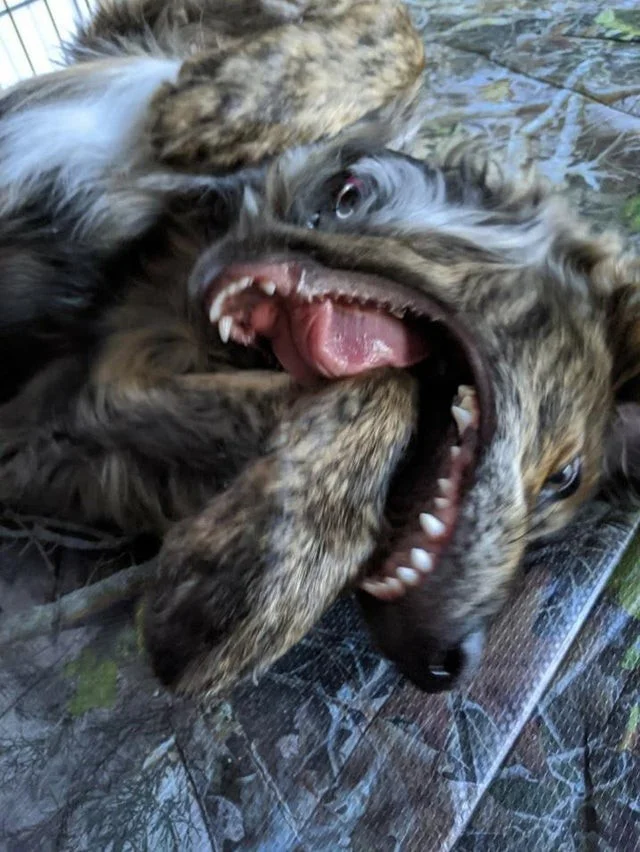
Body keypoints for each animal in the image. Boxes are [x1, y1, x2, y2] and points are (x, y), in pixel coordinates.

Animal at [1, 0, 639, 698]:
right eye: (564, 476)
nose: (451, 663)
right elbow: (401, 31)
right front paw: (215, 107)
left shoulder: (59, 425)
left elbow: (386, 389)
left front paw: (230, 587)